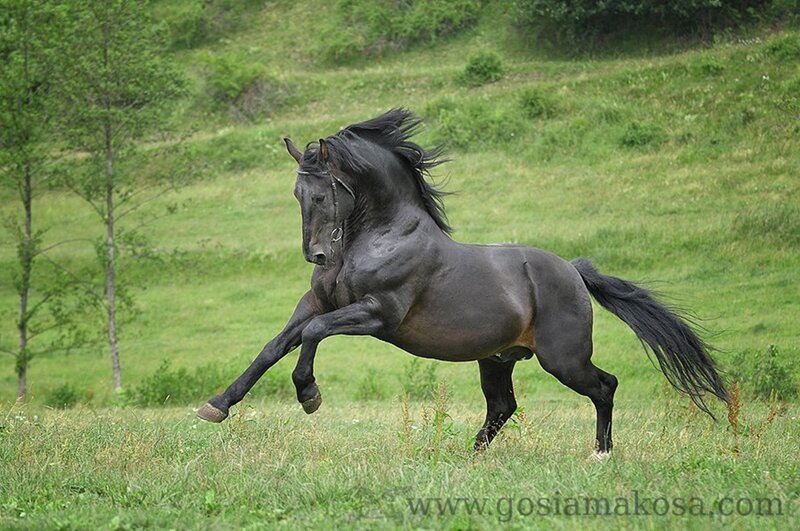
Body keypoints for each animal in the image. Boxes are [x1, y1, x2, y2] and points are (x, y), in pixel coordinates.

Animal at [197, 109, 728, 455]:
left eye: (324, 193)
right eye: (296, 193)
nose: (317, 254)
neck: (379, 235)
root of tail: (574, 271)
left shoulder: (378, 313)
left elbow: (311, 335)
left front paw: (309, 396)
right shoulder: (315, 301)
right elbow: (274, 345)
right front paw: (216, 406)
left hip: (563, 359)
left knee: (605, 386)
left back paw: (600, 451)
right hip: (496, 359)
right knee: (503, 406)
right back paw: (469, 455)